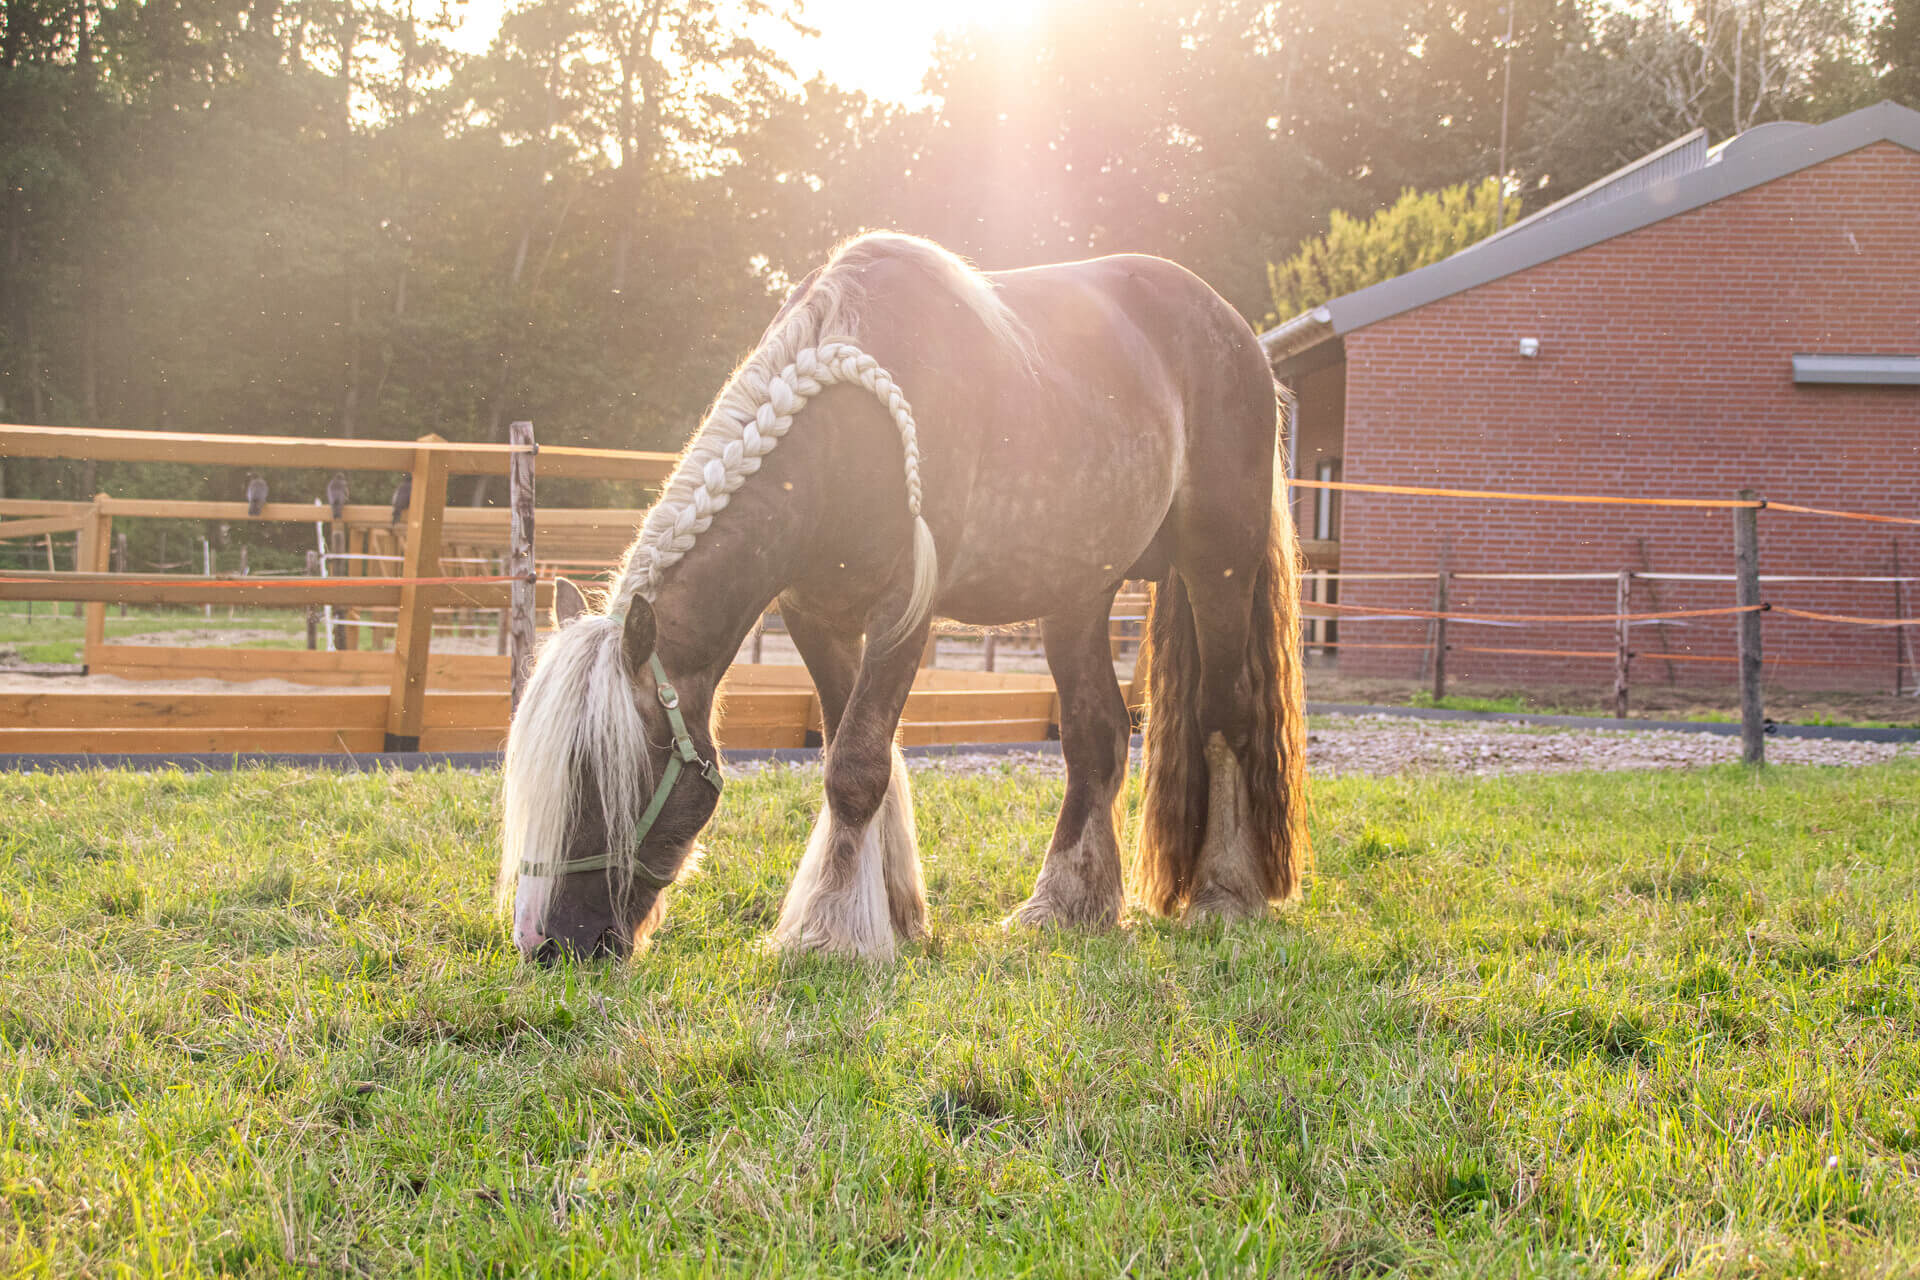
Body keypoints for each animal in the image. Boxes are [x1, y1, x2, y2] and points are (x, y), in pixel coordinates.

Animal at [499, 230, 1305, 959]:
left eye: (599, 777)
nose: (545, 942)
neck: (845, 436)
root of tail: (1238, 335)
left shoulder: (903, 612)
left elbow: (856, 766)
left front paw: (829, 933)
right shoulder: (816, 617)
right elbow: (857, 754)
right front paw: (891, 911)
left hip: (1218, 563)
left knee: (1224, 712)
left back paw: (1224, 896)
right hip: (1079, 592)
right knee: (1095, 735)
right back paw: (1064, 905)